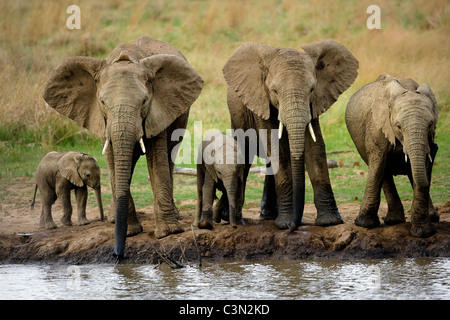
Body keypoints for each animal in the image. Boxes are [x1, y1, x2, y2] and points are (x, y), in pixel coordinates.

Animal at [43, 36, 203, 258]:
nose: (117, 254)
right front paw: (131, 232)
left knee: (169, 155)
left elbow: (157, 160)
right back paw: (113, 219)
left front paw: (169, 232)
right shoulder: (102, 119)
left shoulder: (158, 110)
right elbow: (113, 161)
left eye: (144, 101)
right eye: (102, 102)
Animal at [221, 40, 358, 230]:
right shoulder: (262, 103)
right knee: (244, 156)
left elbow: (315, 147)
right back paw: (230, 218)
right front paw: (285, 224)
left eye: (312, 89)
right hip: (238, 116)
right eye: (274, 91)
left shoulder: (313, 105)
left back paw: (268, 217)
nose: (295, 225)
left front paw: (330, 221)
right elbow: (277, 147)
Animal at [344, 74, 440, 236]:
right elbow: (378, 164)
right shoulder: (377, 127)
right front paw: (364, 224)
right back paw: (394, 221)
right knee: (382, 171)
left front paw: (423, 233)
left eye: (430, 125)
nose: (435, 147)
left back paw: (432, 217)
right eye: (398, 126)